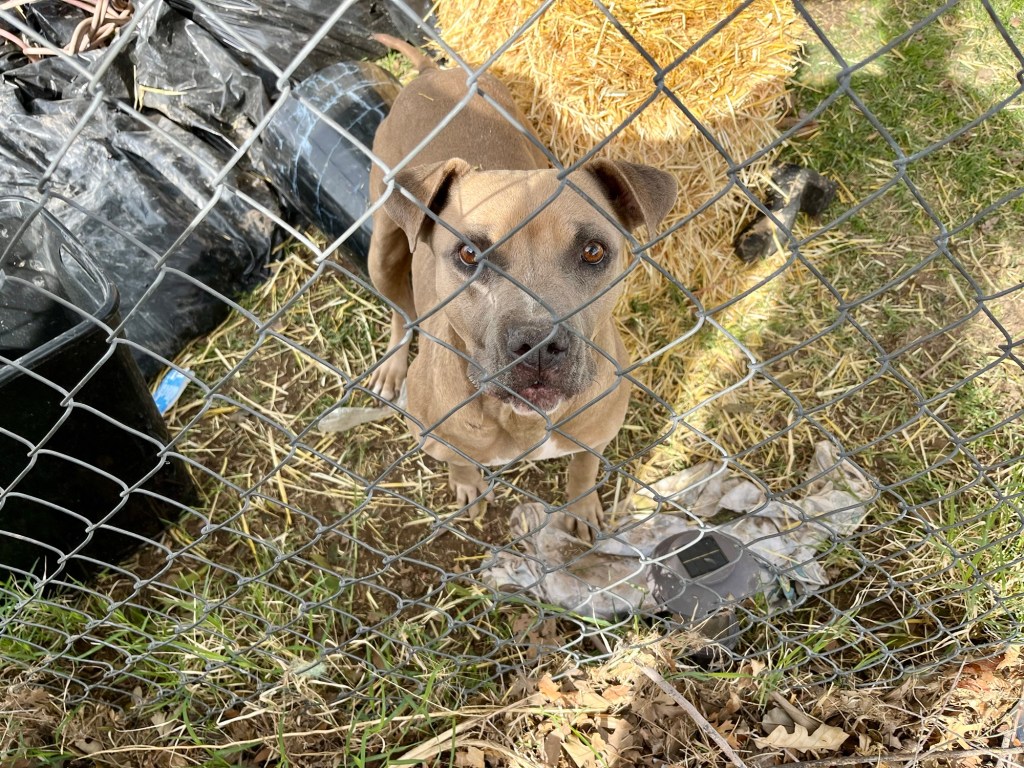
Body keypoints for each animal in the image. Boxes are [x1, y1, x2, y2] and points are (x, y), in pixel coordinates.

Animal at [366, 35, 677, 540]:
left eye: (594, 251)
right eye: (469, 255)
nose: (539, 344)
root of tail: (431, 74)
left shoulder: (598, 431)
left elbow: (583, 468)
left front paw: (581, 508)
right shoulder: (437, 437)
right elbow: (459, 460)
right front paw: (468, 484)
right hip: (383, 247)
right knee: (400, 311)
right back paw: (393, 366)